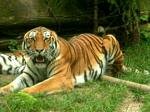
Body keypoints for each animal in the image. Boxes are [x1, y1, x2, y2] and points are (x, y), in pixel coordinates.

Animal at [0, 26, 129, 94]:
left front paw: (22, 93)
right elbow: (13, 83)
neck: (42, 66)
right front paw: (3, 90)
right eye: (32, 39)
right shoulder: (28, 75)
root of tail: (97, 35)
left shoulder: (60, 77)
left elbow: (40, 86)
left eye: (46, 39)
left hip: (110, 39)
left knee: (118, 67)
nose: (39, 50)